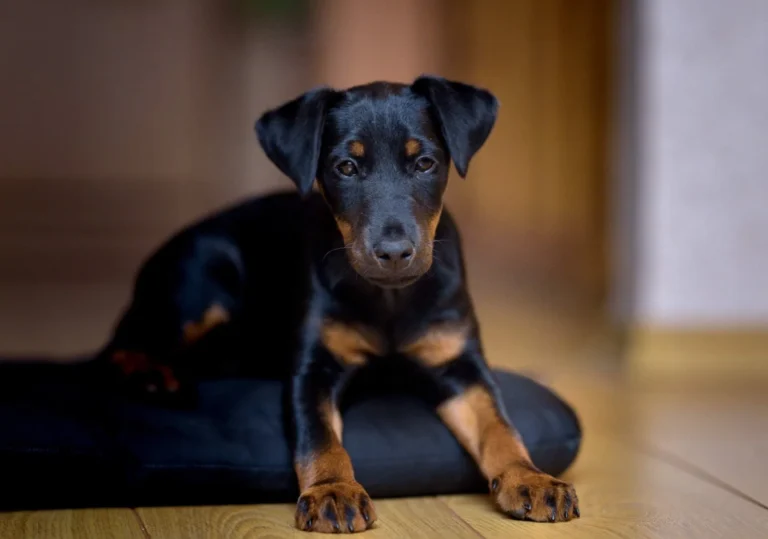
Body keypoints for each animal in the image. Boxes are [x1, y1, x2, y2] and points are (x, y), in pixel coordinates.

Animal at [103, 75, 584, 532]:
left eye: (425, 163)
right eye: (346, 167)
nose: (393, 252)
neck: (389, 297)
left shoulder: (460, 365)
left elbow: (499, 425)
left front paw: (531, 479)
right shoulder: (313, 369)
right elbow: (321, 439)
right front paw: (334, 492)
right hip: (201, 279)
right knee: (121, 345)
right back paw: (154, 378)